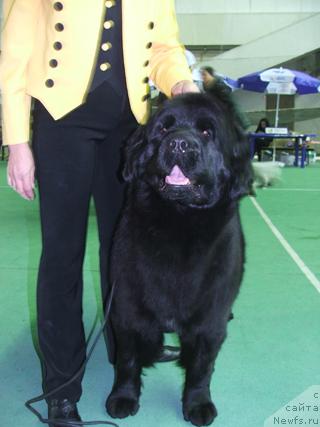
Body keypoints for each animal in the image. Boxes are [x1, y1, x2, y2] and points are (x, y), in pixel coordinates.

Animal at [106, 85, 254, 426]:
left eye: (207, 132)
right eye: (163, 129)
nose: (179, 142)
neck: (178, 221)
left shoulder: (210, 317)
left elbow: (202, 366)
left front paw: (198, 404)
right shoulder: (127, 306)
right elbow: (127, 359)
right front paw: (123, 398)